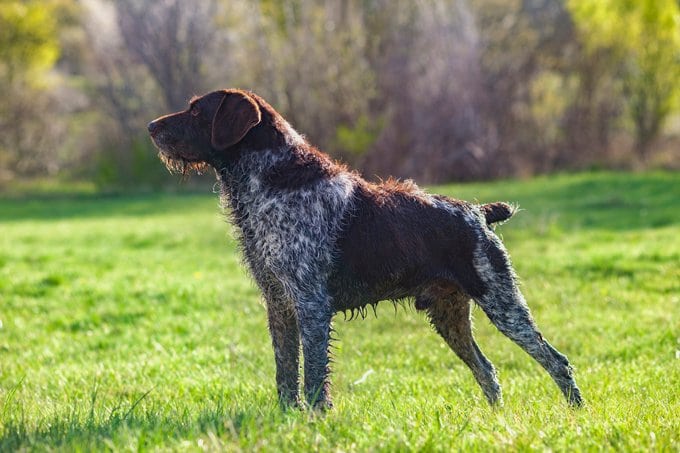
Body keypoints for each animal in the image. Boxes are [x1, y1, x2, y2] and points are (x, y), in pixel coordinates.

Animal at [146, 89, 580, 410]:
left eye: (196, 111)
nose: (150, 127)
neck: (268, 180)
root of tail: (478, 212)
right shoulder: (279, 303)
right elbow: (285, 372)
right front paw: (288, 418)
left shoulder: (311, 303)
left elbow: (313, 374)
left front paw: (315, 420)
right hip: (449, 315)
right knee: (487, 370)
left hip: (503, 305)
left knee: (556, 361)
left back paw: (575, 413)